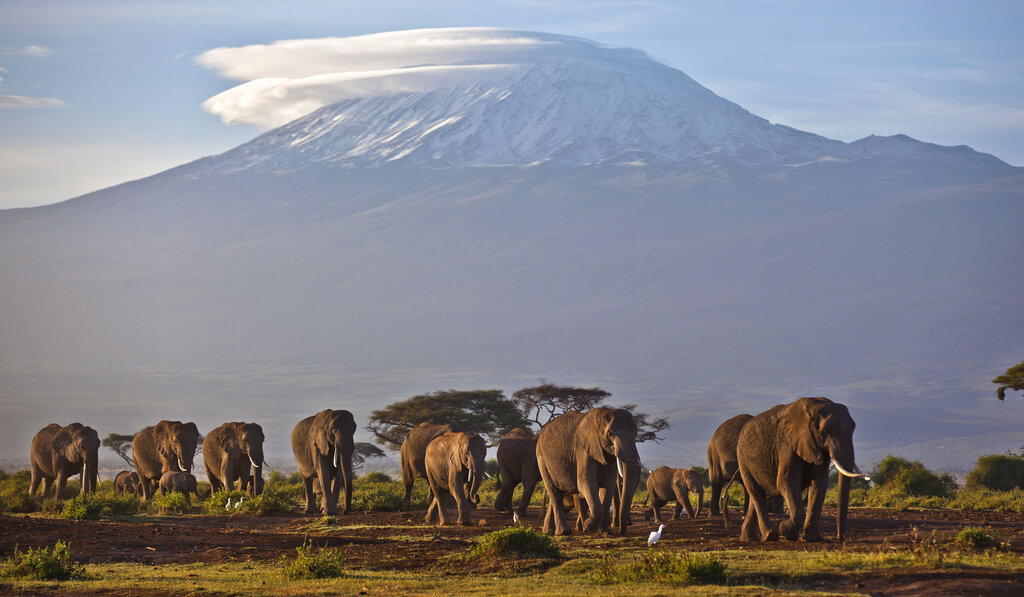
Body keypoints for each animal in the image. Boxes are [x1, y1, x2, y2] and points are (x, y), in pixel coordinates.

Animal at [741, 397, 868, 540]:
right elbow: (786, 481)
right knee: (756, 494)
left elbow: (820, 483)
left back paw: (748, 538)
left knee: (758, 497)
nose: (840, 538)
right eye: (825, 431)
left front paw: (813, 539)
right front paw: (785, 530)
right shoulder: (786, 444)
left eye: (853, 429)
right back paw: (770, 536)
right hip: (743, 461)